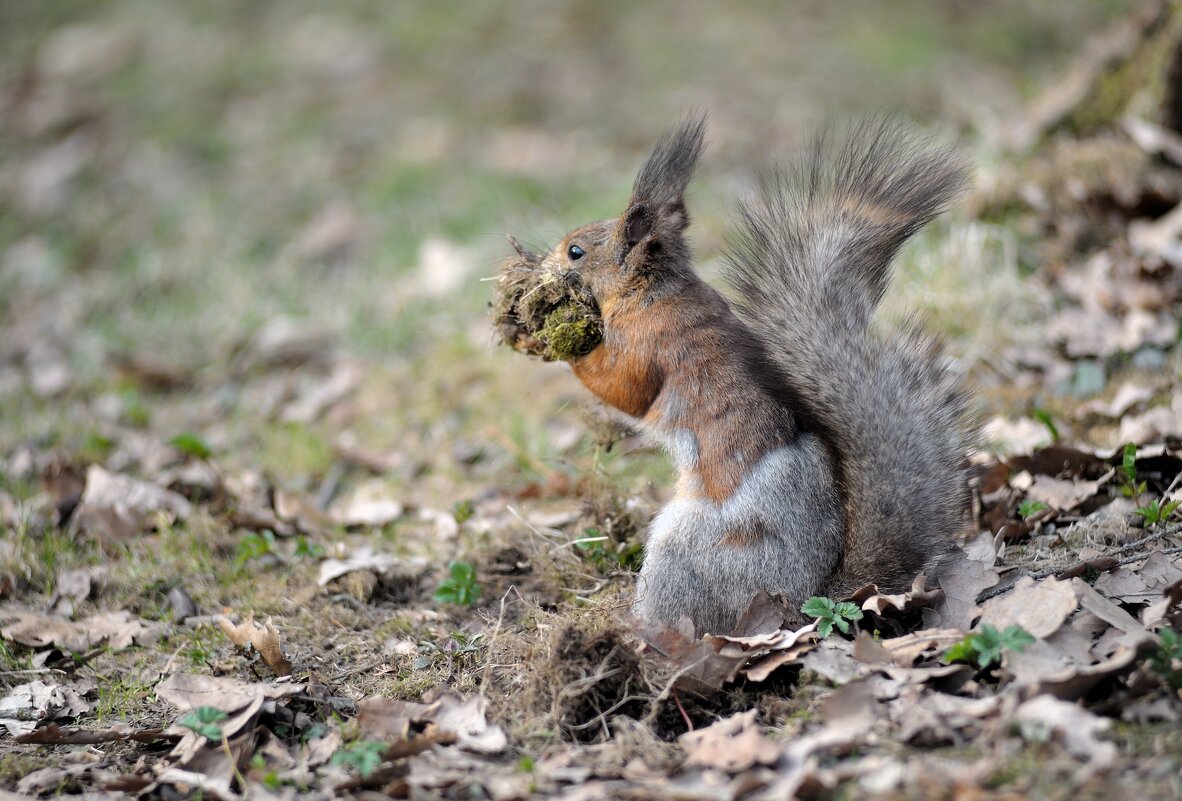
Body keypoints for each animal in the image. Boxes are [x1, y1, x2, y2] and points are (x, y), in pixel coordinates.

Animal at [515, 116, 969, 637]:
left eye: (575, 252)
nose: (543, 266)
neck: (652, 291)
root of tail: (802, 600)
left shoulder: (649, 343)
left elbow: (624, 387)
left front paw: (554, 342)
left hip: (685, 554)